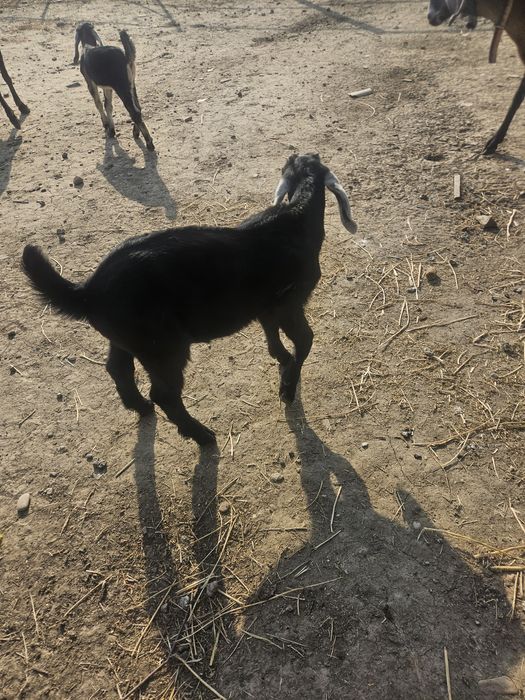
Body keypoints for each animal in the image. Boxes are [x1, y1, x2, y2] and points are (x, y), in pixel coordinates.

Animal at [22, 154, 357, 446]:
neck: (295, 219)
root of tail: (88, 291)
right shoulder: (289, 303)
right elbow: (305, 340)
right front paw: (287, 387)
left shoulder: (266, 306)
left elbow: (272, 335)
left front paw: (282, 361)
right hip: (163, 346)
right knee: (165, 394)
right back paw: (202, 435)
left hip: (129, 339)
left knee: (118, 368)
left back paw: (141, 408)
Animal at [74, 22, 154, 151]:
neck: (88, 45)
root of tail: (126, 57)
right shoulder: (108, 87)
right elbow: (108, 106)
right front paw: (111, 130)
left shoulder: (90, 82)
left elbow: (98, 103)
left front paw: (106, 125)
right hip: (131, 84)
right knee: (138, 108)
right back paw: (136, 133)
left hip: (122, 86)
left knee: (134, 112)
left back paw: (149, 143)